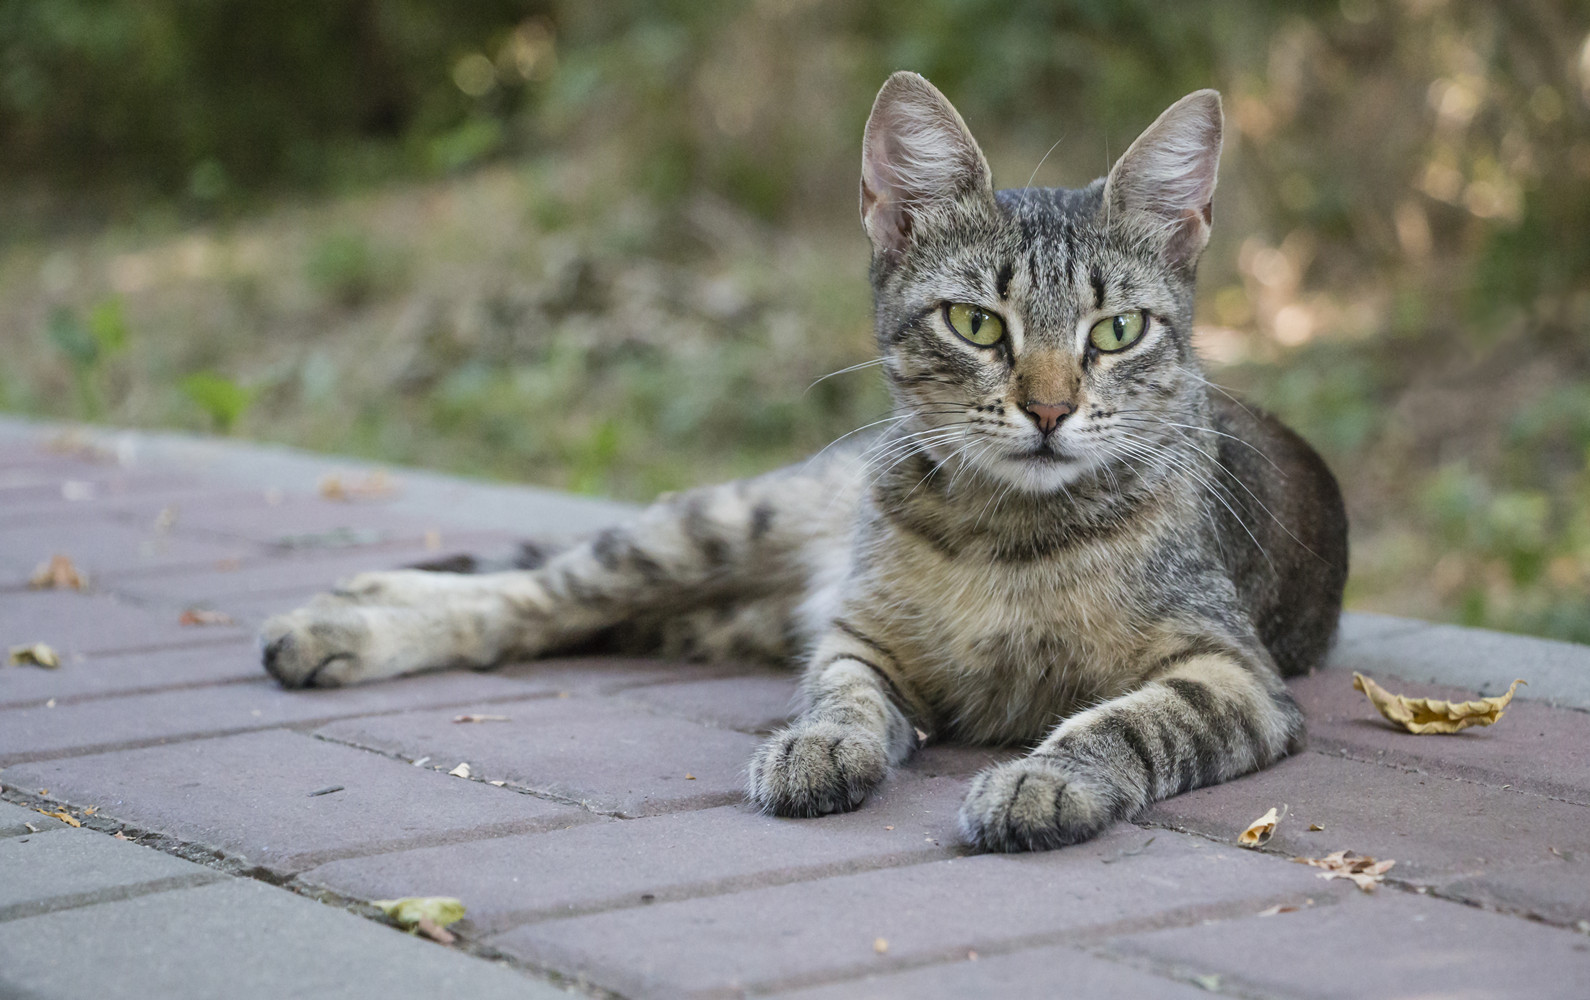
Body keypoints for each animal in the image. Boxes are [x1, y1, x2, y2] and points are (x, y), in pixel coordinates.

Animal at [257, 72, 1341, 852]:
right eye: (975, 323)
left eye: (1116, 331)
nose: (1048, 408)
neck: (1011, 531)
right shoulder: (859, 635)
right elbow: (841, 693)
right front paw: (819, 743)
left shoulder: (1233, 673)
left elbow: (1125, 722)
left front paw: (1048, 776)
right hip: (711, 533)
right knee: (529, 595)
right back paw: (338, 618)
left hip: (711, 615)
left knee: (545, 619)